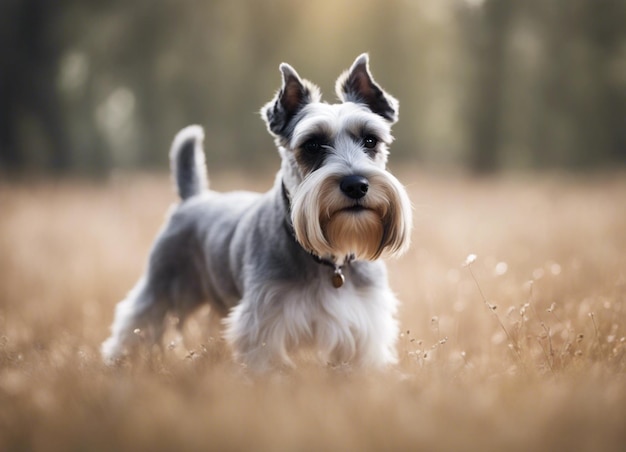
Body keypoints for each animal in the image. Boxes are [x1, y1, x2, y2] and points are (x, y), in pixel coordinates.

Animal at [100, 53, 412, 370]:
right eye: (312, 145)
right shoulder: (264, 325)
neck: (329, 261)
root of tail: (193, 198)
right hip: (160, 288)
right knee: (135, 323)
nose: (356, 185)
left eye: (371, 140)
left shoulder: (365, 327)